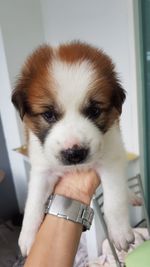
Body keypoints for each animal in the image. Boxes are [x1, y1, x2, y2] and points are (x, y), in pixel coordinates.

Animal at [11, 42, 134, 258]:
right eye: (48, 114)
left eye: (94, 111)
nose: (75, 153)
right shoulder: (42, 169)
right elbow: (33, 202)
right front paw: (27, 237)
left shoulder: (112, 159)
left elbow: (115, 201)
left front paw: (120, 232)